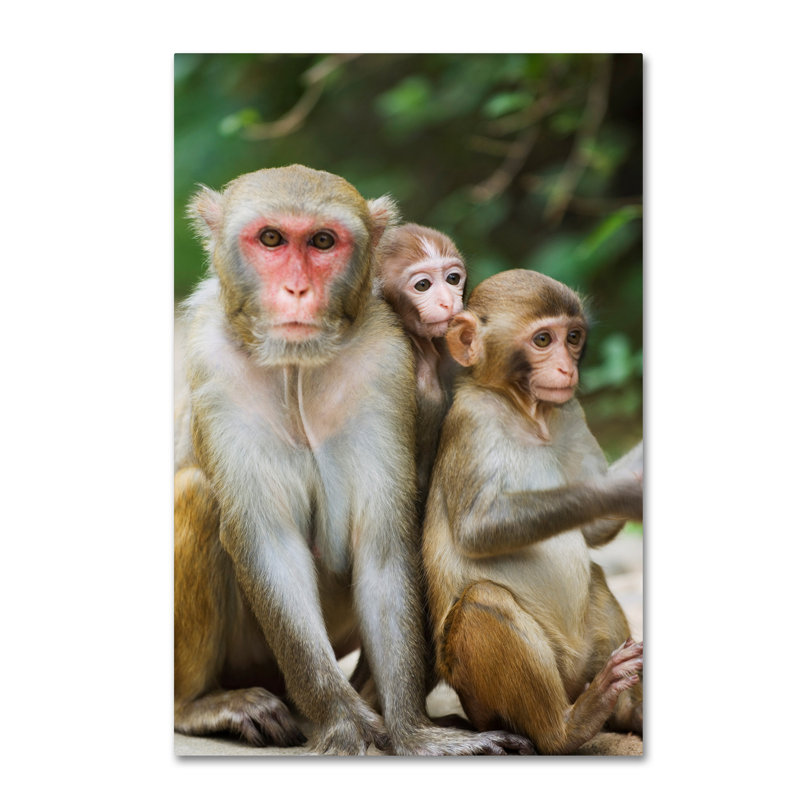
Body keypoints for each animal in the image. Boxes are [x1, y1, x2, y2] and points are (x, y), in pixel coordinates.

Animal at [422, 268, 644, 755]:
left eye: (573, 337)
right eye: (543, 339)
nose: (568, 368)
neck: (528, 413)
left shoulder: (570, 411)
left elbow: (594, 534)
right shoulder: (472, 420)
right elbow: (478, 529)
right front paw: (619, 488)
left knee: (594, 576)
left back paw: (627, 712)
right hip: (481, 697)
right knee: (482, 602)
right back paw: (569, 727)